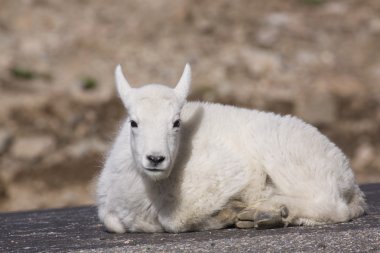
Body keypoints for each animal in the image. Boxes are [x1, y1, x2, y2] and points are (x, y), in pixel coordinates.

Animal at [96, 63, 366, 233]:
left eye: (176, 122)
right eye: (133, 122)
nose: (155, 158)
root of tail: (350, 180)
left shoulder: (228, 171)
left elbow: (175, 219)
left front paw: (227, 212)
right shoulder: (110, 210)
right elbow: (112, 223)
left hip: (290, 158)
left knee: (331, 205)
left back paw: (266, 211)